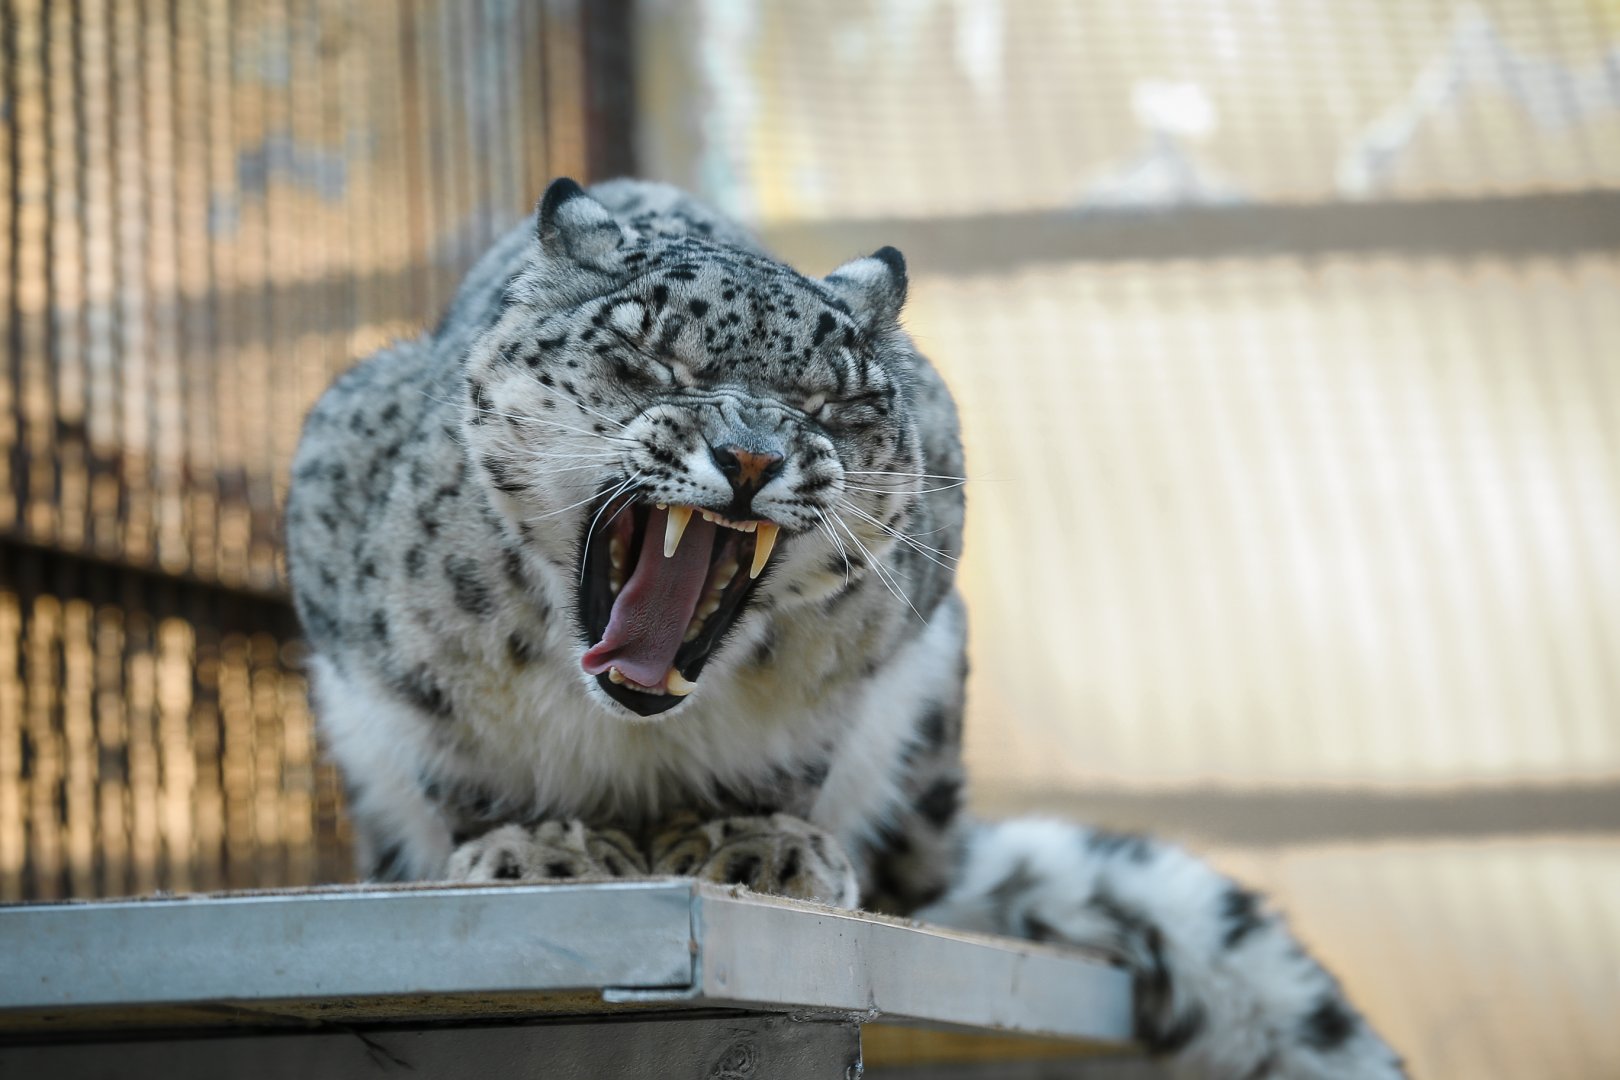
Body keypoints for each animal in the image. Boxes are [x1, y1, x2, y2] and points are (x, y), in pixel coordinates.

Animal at [285, 177, 1406, 1079]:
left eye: (833, 400)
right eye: (649, 358)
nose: (751, 455)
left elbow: (795, 762)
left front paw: (761, 846)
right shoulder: (379, 631)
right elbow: (458, 760)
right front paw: (530, 848)